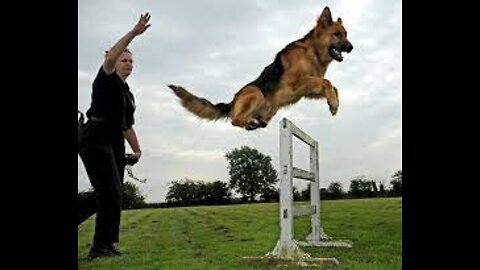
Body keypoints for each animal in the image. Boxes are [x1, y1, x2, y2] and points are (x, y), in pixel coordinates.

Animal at [169, 6, 352, 131]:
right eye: (337, 34)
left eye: (346, 34)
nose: (351, 48)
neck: (313, 51)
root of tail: (232, 102)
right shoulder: (296, 82)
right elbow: (327, 82)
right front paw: (333, 102)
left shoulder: (308, 89)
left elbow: (333, 86)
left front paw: (334, 103)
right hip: (256, 92)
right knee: (235, 120)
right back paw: (248, 122)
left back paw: (254, 123)